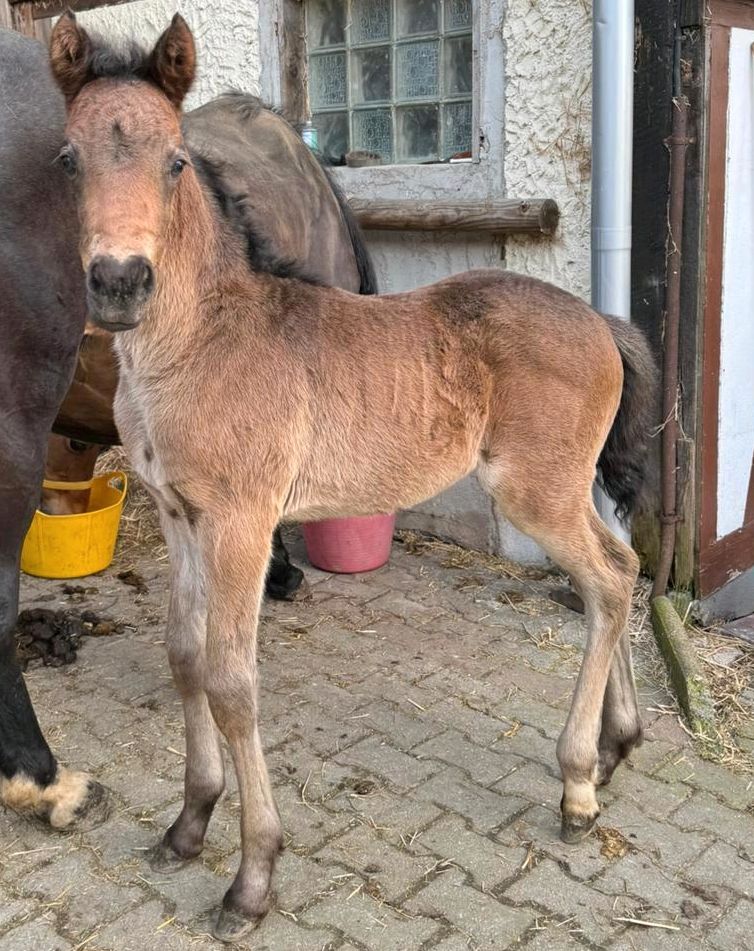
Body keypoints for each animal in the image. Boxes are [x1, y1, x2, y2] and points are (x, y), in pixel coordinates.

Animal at [50, 14, 656, 944]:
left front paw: (252, 877)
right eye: (69, 159)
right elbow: (184, 654)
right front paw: (188, 823)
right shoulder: (182, 517)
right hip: (566, 487)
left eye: (176, 159)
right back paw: (616, 747)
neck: (197, 345)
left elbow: (232, 681)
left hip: (536, 491)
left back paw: (579, 784)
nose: (119, 283)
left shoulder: (242, 523)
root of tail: (600, 320)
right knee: (615, 574)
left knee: (611, 579)